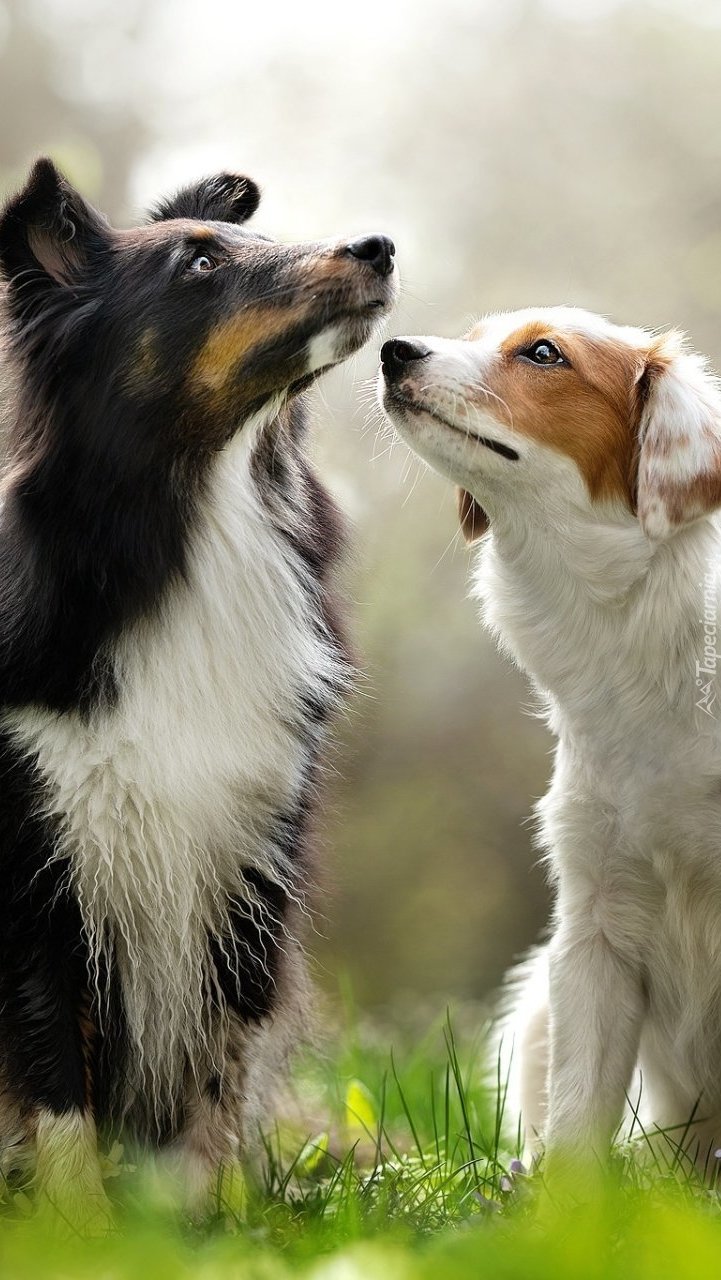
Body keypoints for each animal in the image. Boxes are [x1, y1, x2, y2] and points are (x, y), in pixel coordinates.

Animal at [0, 154, 396, 1223]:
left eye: (254, 239)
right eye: (200, 263)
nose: (379, 246)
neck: (198, 514)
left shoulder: (247, 863)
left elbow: (215, 1077)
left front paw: (204, 1226)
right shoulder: (35, 886)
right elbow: (55, 1085)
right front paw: (80, 1232)